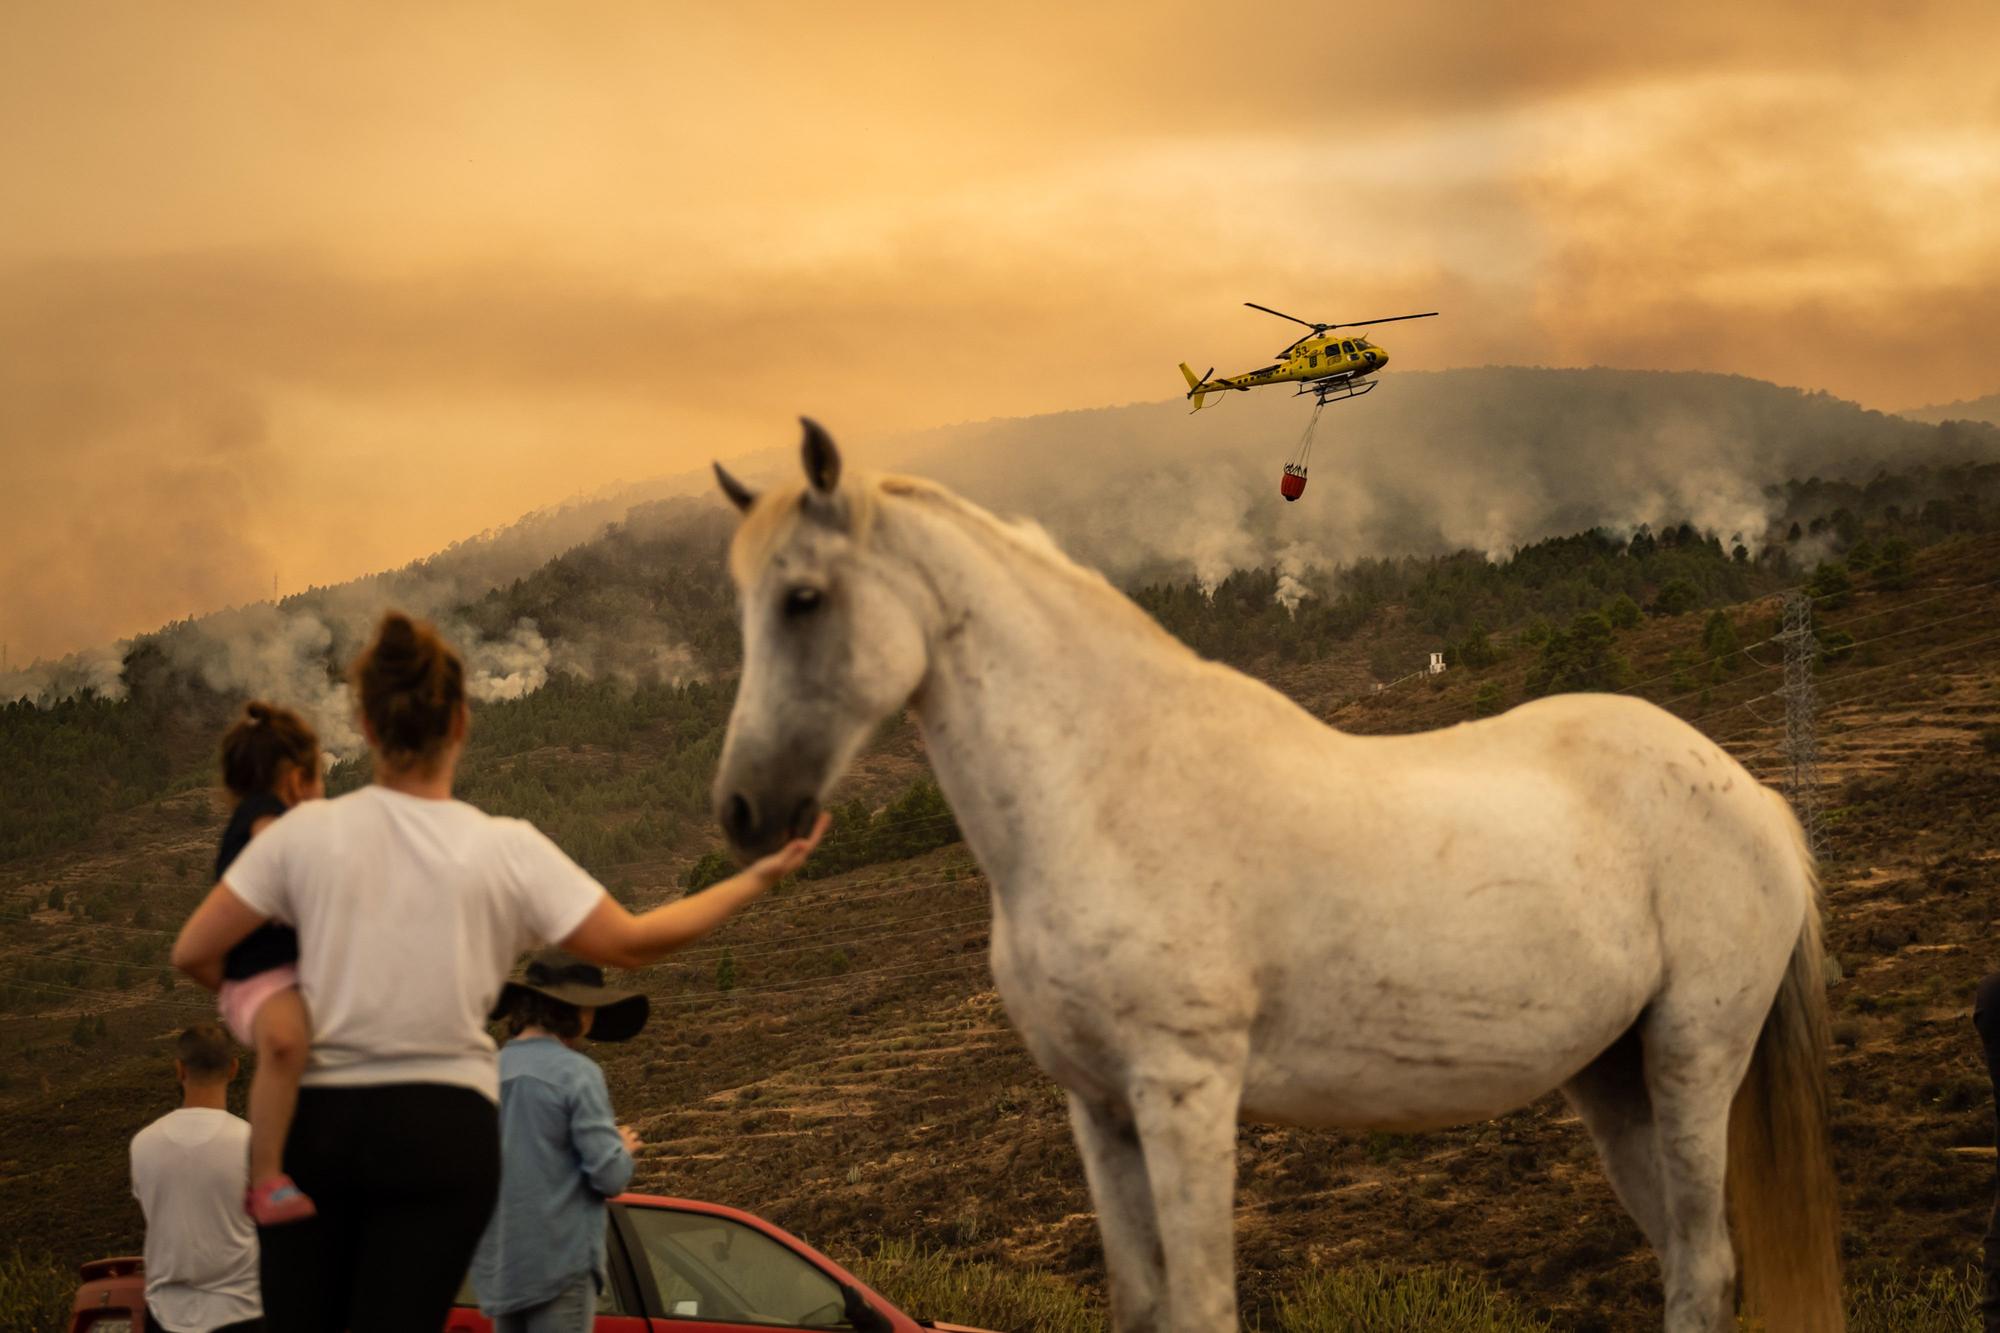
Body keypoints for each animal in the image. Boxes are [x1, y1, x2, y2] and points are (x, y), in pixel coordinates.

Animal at [708, 420, 1840, 1320]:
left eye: (802, 598)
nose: (744, 811)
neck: (1104, 788)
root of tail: (1758, 799)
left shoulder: (1187, 1092)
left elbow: (1204, 1306)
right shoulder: (1100, 1111)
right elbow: (1144, 1304)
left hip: (1693, 1052)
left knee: (1704, 1265)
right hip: (1611, 1077)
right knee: (1685, 1262)